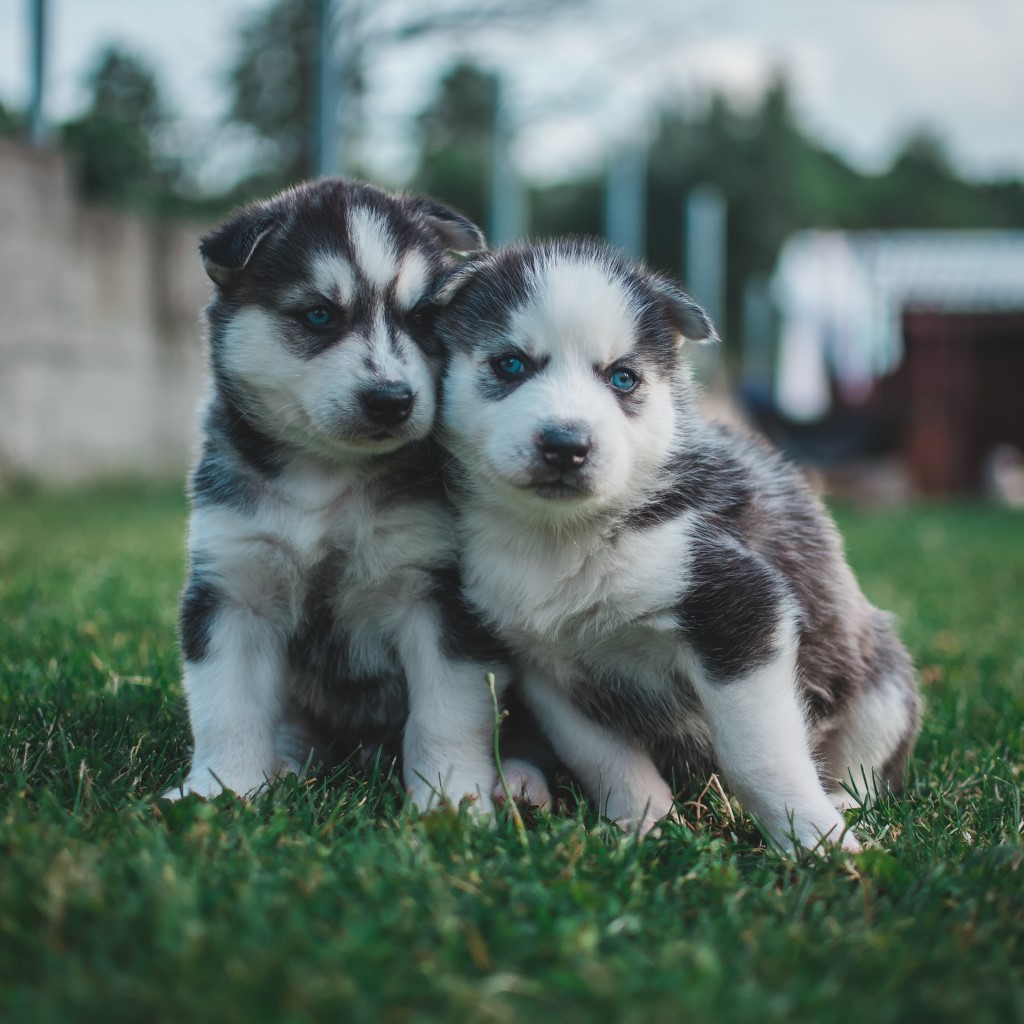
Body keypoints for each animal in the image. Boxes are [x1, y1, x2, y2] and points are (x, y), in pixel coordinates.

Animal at [163, 180, 507, 811]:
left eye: (420, 318)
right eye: (320, 315)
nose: (393, 399)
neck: (327, 477)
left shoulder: (436, 592)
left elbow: (446, 714)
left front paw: (449, 799)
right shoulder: (233, 588)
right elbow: (228, 709)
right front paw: (221, 791)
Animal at [432, 237, 921, 847]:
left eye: (622, 379)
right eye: (511, 364)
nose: (567, 445)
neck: (562, 539)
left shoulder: (739, 609)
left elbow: (758, 756)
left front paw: (816, 842)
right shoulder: (546, 667)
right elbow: (604, 758)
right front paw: (643, 826)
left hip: (882, 681)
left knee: (869, 766)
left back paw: (844, 804)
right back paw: (524, 786)